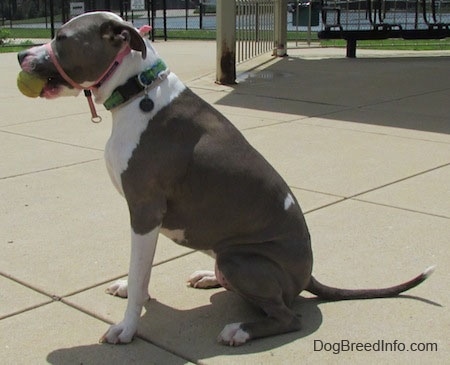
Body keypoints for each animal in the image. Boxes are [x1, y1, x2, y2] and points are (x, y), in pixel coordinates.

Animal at [18, 11, 436, 346]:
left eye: (61, 38)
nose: (21, 56)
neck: (139, 90)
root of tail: (309, 274)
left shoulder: (145, 211)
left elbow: (140, 276)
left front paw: (127, 328)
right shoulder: (147, 220)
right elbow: (141, 272)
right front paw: (132, 292)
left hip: (241, 259)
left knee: (288, 316)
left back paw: (241, 330)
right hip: (228, 257)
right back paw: (209, 276)